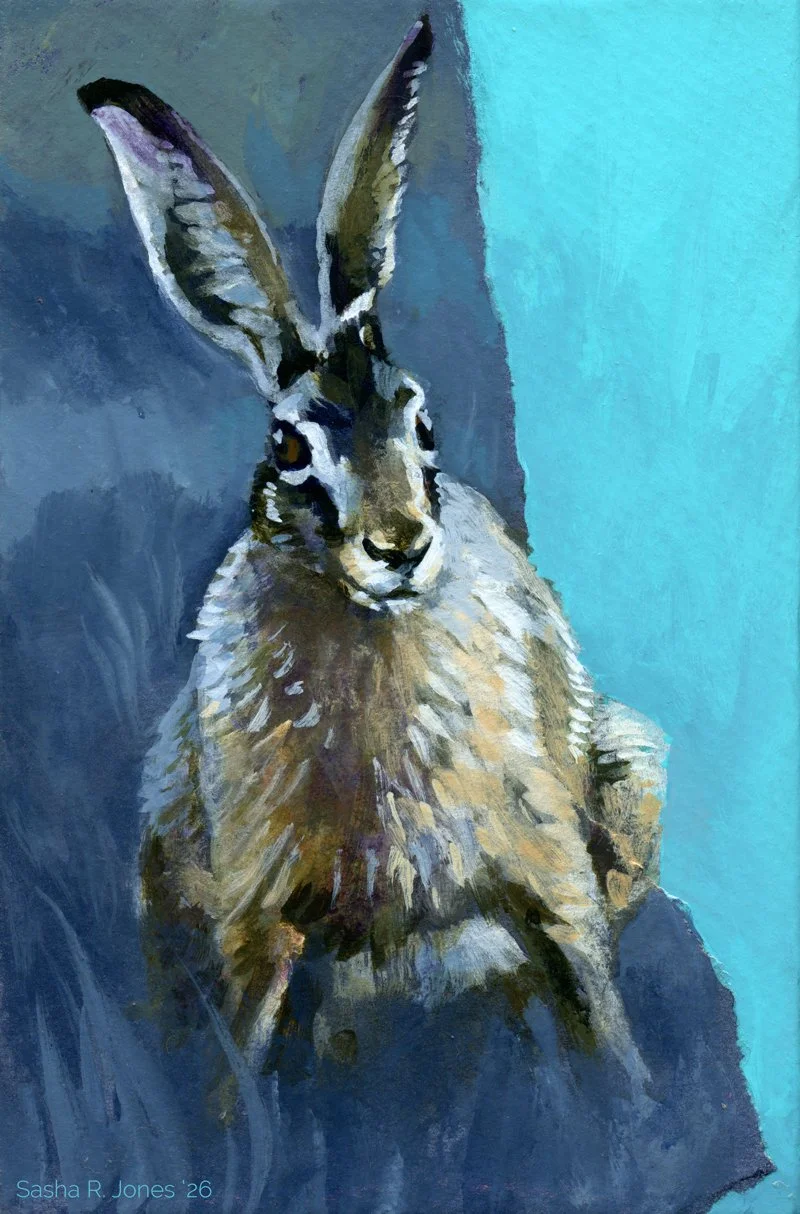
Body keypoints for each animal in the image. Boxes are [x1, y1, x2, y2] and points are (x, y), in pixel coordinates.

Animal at [79, 15, 666, 1103]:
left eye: (422, 423)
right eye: (286, 447)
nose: (399, 544)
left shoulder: (550, 870)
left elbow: (596, 1008)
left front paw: (634, 1103)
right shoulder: (253, 911)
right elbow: (235, 1063)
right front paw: (227, 1124)